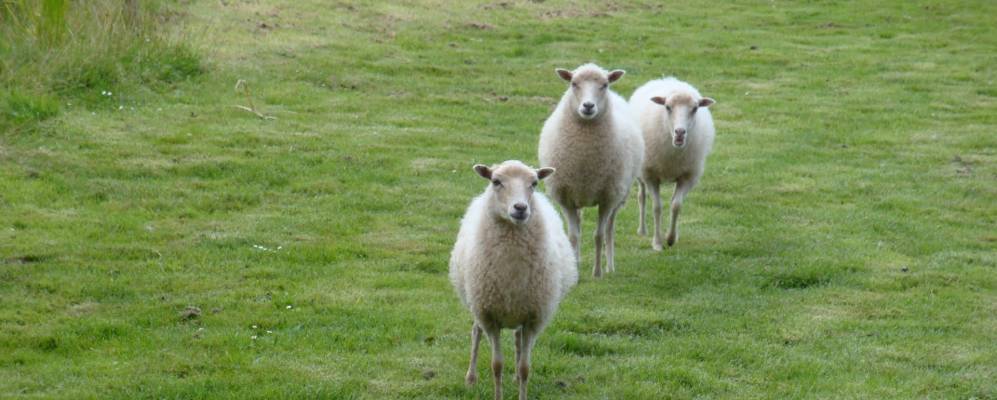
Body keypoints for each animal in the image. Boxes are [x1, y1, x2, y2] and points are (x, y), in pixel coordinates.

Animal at [449, 160, 578, 400]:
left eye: (534, 183)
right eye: (496, 181)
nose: (520, 208)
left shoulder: (533, 318)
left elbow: (525, 367)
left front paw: (521, 383)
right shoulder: (489, 316)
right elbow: (496, 366)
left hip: (520, 309)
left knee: (518, 340)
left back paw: (516, 377)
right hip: (477, 303)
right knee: (475, 332)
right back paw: (470, 378)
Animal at [538, 63, 644, 277]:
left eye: (604, 85)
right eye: (573, 83)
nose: (588, 106)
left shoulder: (608, 197)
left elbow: (599, 235)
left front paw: (597, 273)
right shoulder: (565, 198)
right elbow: (573, 235)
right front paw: (576, 273)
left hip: (620, 194)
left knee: (610, 228)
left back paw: (610, 266)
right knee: (579, 224)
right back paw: (577, 261)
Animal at [629, 77, 716, 250]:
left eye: (695, 108)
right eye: (667, 107)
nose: (680, 133)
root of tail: (666, 79)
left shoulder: (688, 177)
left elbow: (676, 205)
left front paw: (670, 238)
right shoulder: (650, 175)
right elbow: (657, 207)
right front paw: (657, 242)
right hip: (641, 171)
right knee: (641, 196)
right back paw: (642, 230)